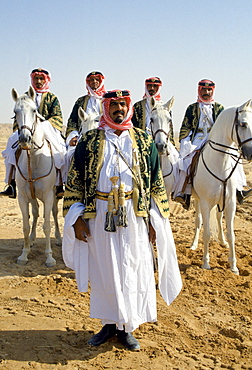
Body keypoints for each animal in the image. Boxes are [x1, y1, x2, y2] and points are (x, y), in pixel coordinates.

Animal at [12, 86, 61, 266]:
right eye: (15, 112)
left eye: (34, 110)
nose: (24, 138)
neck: (33, 160)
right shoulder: (23, 197)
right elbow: (26, 225)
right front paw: (24, 254)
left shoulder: (48, 196)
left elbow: (46, 225)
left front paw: (49, 257)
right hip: (32, 196)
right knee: (35, 213)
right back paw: (32, 239)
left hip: (54, 195)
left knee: (54, 213)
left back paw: (59, 238)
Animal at [191, 99, 252, 274]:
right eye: (243, 124)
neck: (219, 163)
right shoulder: (205, 203)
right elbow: (206, 233)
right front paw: (205, 263)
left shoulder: (230, 203)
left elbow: (232, 234)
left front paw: (233, 266)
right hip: (197, 199)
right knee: (198, 221)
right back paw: (194, 244)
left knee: (218, 217)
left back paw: (222, 241)